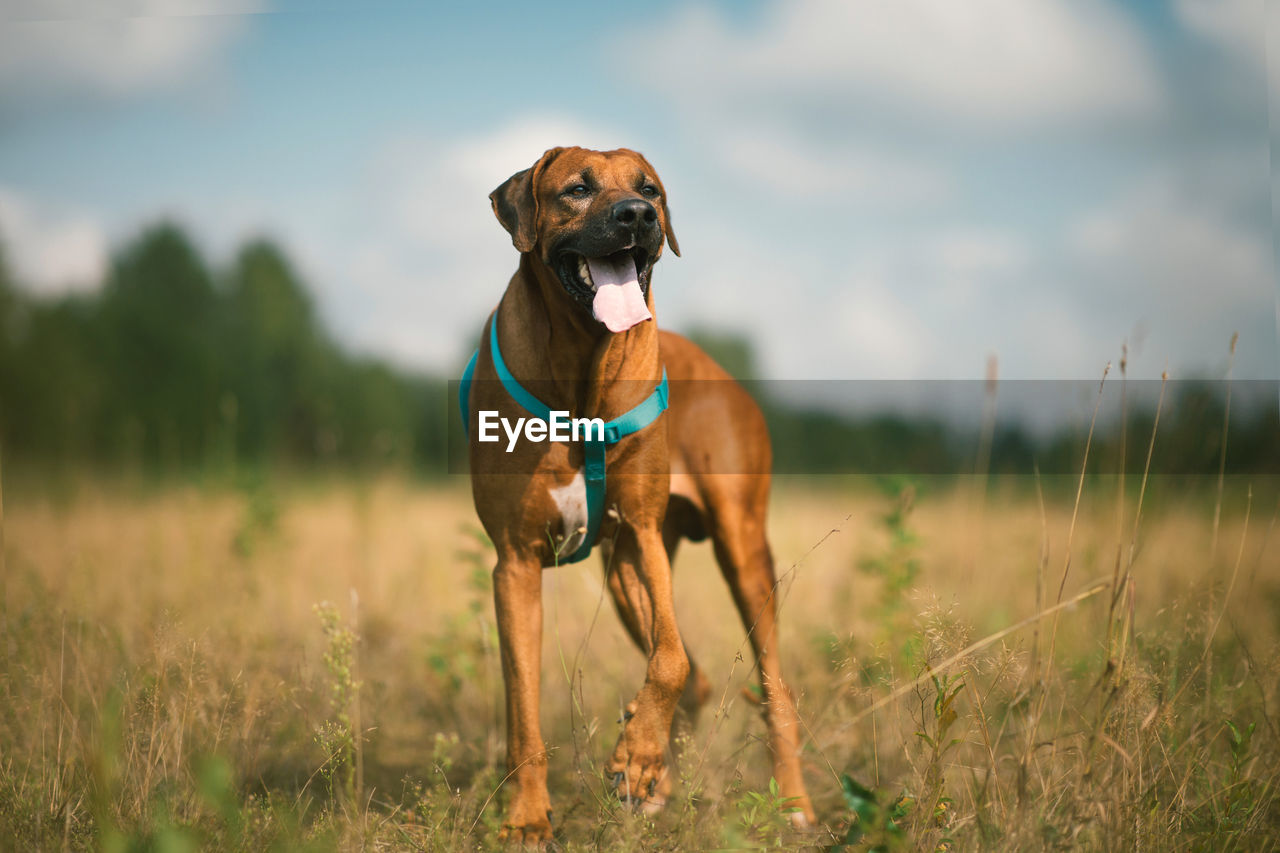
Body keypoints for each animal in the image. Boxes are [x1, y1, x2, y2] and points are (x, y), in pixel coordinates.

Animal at [465, 144, 814, 835]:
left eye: (649, 188)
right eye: (576, 189)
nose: (638, 215)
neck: (582, 371)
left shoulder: (644, 533)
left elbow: (670, 659)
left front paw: (636, 754)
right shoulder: (515, 562)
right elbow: (523, 707)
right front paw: (529, 818)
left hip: (740, 550)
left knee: (771, 687)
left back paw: (791, 804)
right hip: (621, 578)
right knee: (702, 679)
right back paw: (655, 779)